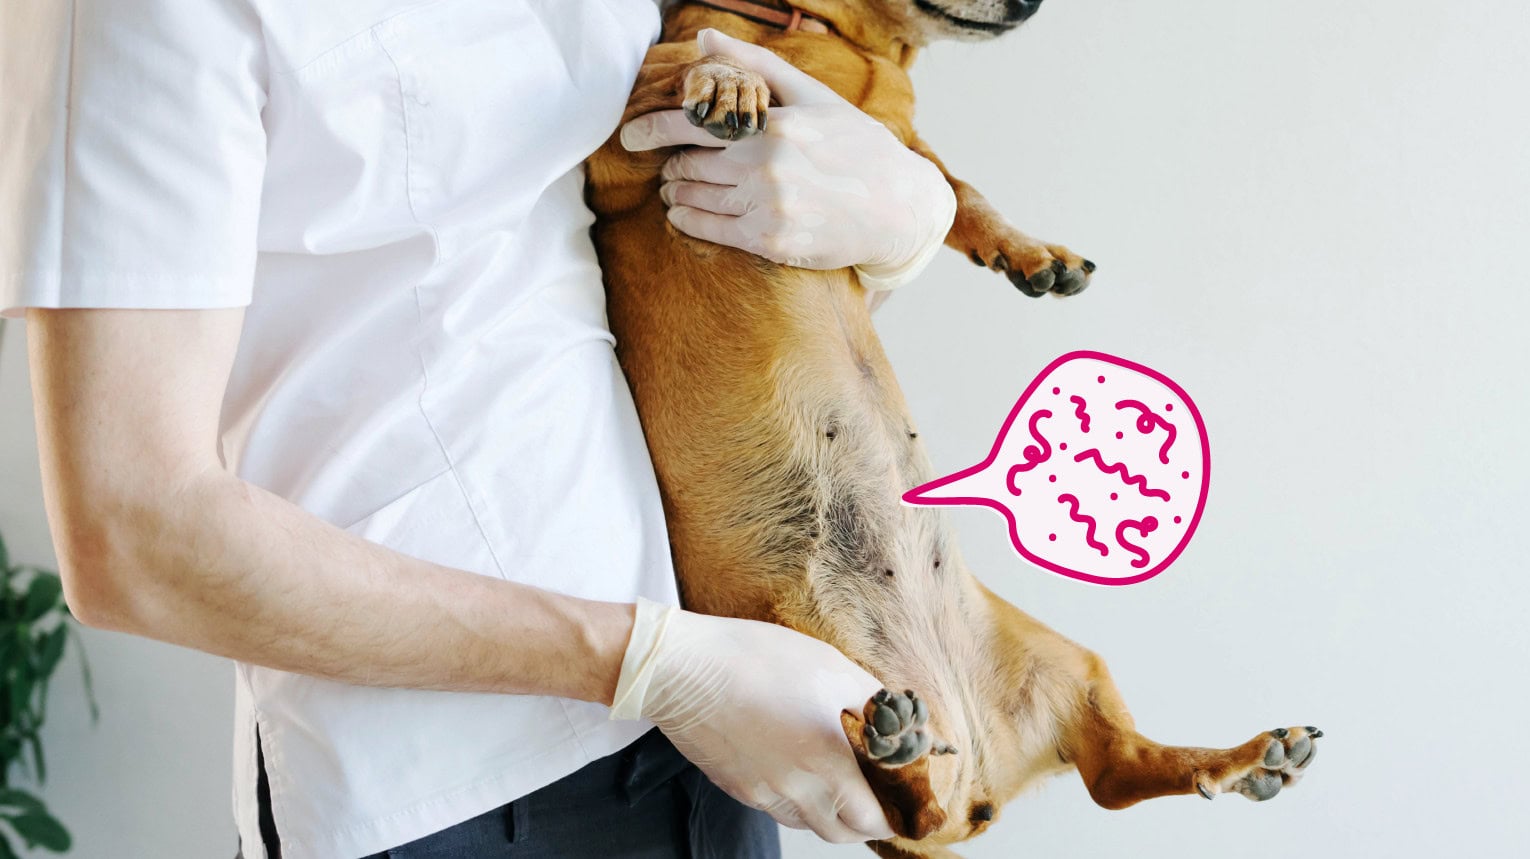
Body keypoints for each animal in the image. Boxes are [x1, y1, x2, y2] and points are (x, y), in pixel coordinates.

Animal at [584, 3, 1315, 851]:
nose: (1032, 9)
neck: (825, 39)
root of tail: (978, 780)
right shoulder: (618, 162)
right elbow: (676, 63)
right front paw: (728, 81)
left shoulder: (898, 147)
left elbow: (953, 188)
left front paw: (1031, 253)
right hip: (798, 684)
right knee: (909, 799)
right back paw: (894, 746)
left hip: (1074, 663)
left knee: (1111, 775)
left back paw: (1244, 758)